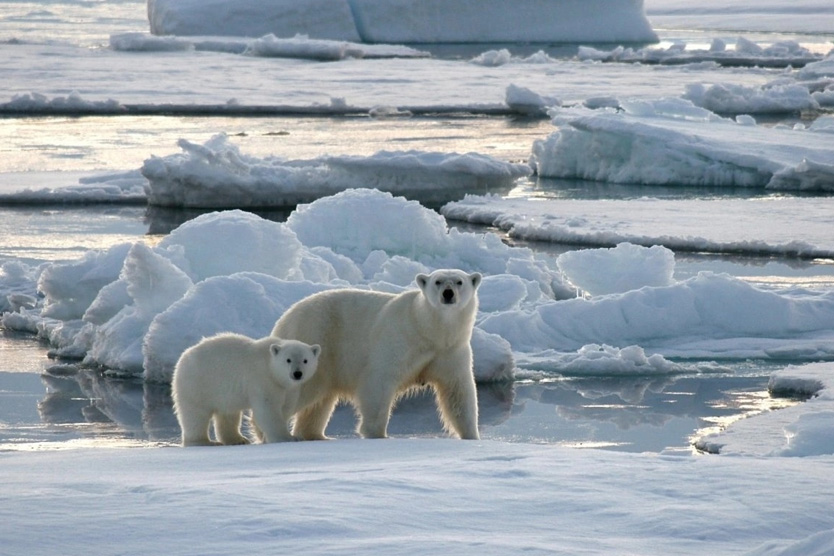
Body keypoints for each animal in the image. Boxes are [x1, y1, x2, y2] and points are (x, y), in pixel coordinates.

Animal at [171, 332, 318, 446]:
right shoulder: (263, 380)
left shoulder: (289, 388)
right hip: (197, 384)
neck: (270, 365)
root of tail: (183, 358)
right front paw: (288, 438)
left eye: (305, 360)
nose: (297, 373)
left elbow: (286, 408)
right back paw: (203, 442)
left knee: (228, 414)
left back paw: (237, 439)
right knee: (195, 414)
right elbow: (268, 410)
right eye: (288, 360)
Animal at [272, 268, 480, 440]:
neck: (427, 328)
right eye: (438, 281)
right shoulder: (398, 338)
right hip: (315, 337)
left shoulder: (451, 350)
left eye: (459, 281)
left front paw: (472, 436)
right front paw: (376, 433)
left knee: (319, 402)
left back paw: (315, 435)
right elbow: (379, 381)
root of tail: (283, 319)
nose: (448, 293)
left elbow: (458, 391)